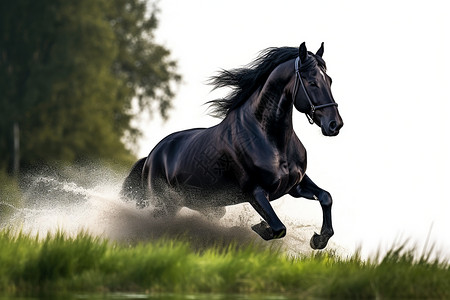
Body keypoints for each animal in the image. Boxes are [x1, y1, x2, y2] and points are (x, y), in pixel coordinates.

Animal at [121, 42, 342, 248]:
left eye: (330, 80)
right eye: (312, 82)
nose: (334, 125)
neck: (270, 139)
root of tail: (150, 157)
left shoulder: (295, 185)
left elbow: (326, 197)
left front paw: (319, 239)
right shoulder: (255, 192)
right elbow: (279, 228)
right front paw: (259, 226)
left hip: (201, 206)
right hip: (163, 204)